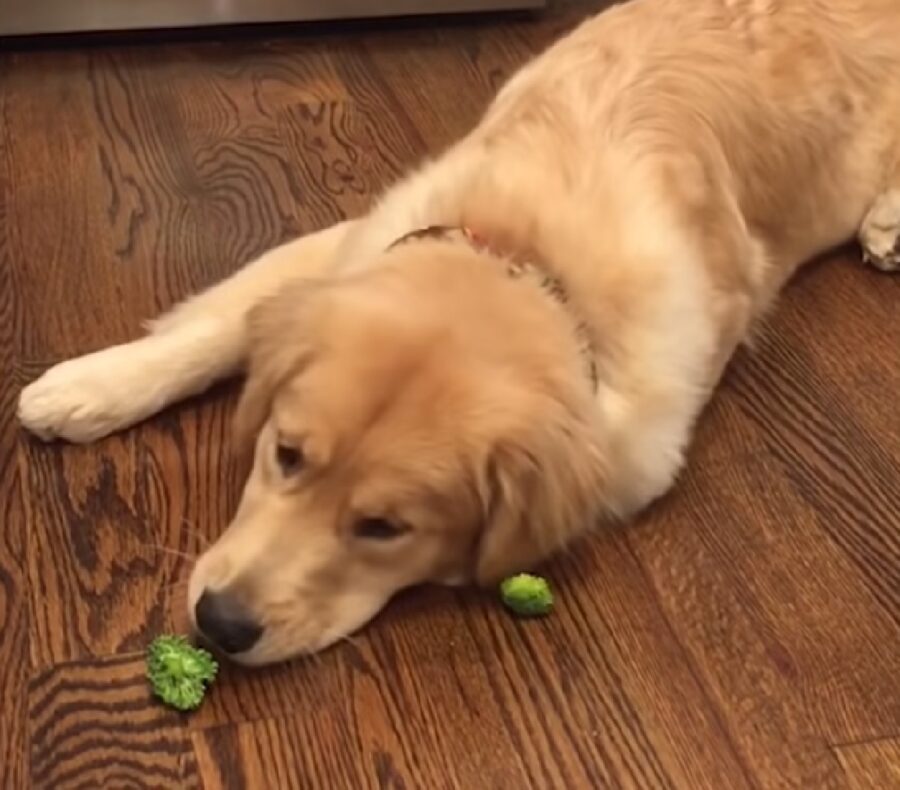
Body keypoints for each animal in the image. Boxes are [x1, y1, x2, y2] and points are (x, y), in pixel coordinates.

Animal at [15, 0, 900, 668]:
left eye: (385, 529)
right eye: (286, 454)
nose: (220, 624)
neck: (528, 253)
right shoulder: (358, 239)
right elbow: (220, 322)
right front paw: (85, 389)